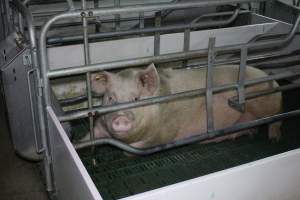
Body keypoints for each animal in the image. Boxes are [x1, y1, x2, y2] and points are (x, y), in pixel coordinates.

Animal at [84, 63, 282, 148]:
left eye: (136, 98)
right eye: (111, 98)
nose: (121, 118)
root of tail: (273, 80)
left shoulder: (165, 132)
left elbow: (138, 149)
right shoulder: (100, 125)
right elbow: (89, 136)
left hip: (267, 104)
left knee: (276, 120)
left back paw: (273, 139)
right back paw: (250, 133)